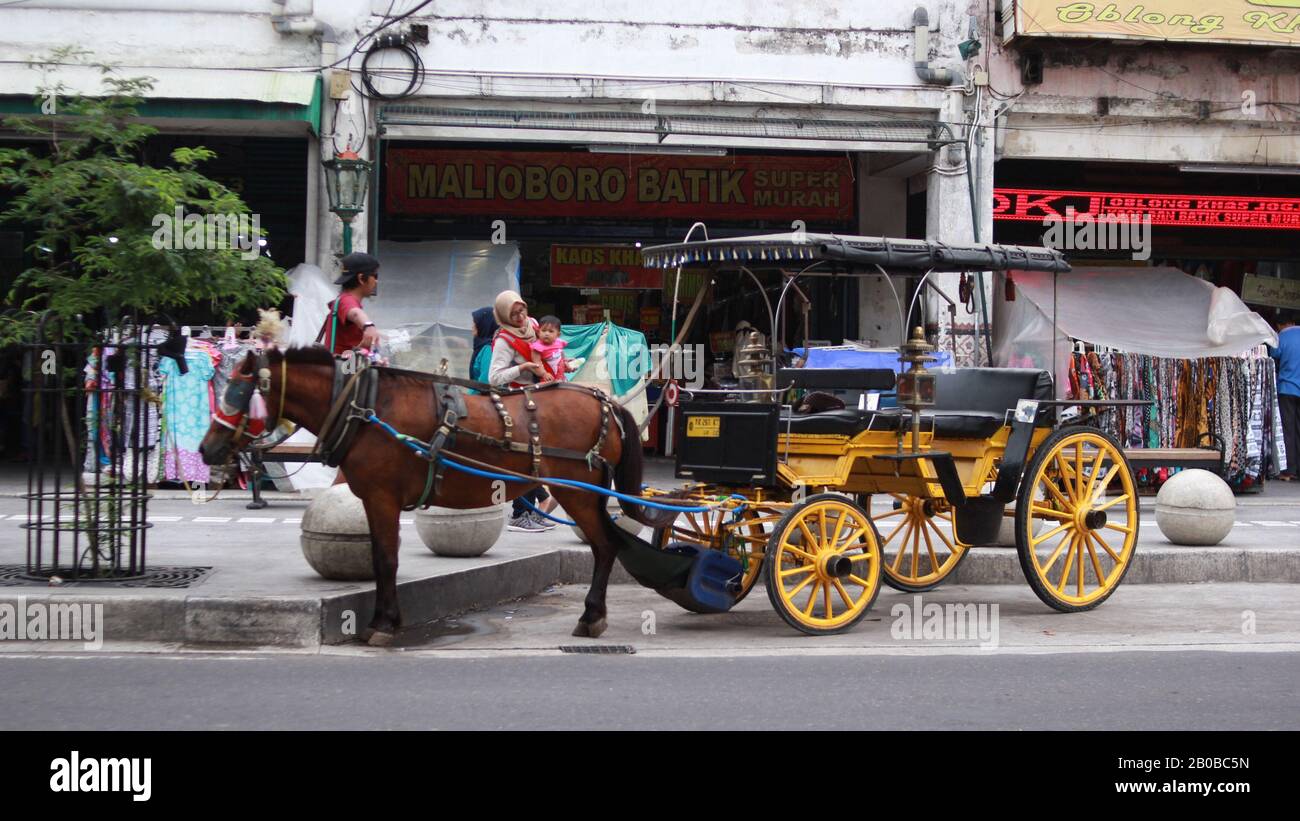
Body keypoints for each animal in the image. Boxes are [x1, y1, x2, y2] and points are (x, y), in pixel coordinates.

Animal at [202, 342, 670, 644]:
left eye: (238, 392)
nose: (208, 449)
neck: (364, 407)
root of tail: (606, 402)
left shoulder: (381, 496)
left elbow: (386, 560)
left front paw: (383, 624)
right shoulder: (374, 499)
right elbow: (382, 558)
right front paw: (386, 619)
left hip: (576, 491)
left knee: (605, 546)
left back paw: (591, 616)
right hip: (585, 491)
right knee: (607, 544)